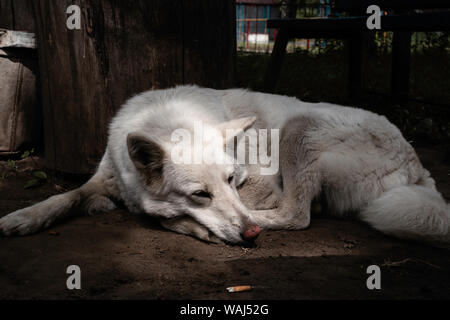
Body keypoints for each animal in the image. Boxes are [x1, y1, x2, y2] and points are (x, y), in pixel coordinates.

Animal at [0, 86, 448, 246]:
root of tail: (416, 167)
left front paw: (188, 225)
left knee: (298, 215)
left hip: (301, 128)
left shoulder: (259, 185)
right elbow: (66, 196)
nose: (250, 234)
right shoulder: (107, 178)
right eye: (200, 193)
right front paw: (21, 218)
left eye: (232, 180)